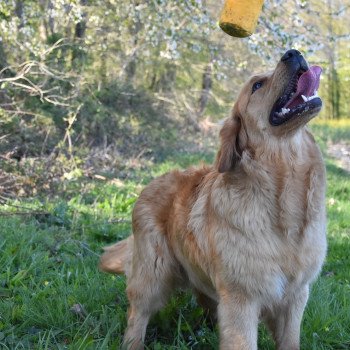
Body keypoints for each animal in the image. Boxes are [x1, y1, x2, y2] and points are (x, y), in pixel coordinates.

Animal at [100, 50, 326, 350]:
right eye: (257, 85)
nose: (293, 53)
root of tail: (153, 181)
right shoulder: (242, 299)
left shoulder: (295, 297)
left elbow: (290, 341)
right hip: (152, 275)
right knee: (137, 315)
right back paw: (133, 342)